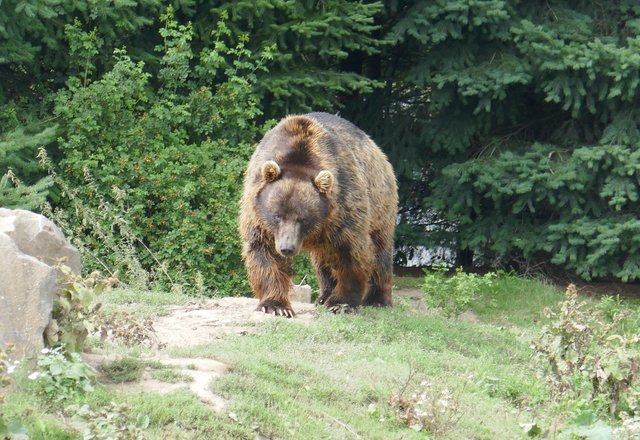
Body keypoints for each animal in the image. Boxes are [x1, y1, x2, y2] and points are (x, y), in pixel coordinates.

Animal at [240, 112, 398, 316]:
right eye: (277, 215)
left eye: (302, 218)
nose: (287, 248)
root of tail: (379, 151)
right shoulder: (258, 214)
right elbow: (263, 251)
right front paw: (276, 305)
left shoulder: (343, 207)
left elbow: (352, 252)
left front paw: (340, 303)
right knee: (323, 261)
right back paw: (323, 296)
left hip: (380, 201)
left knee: (381, 252)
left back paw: (378, 299)